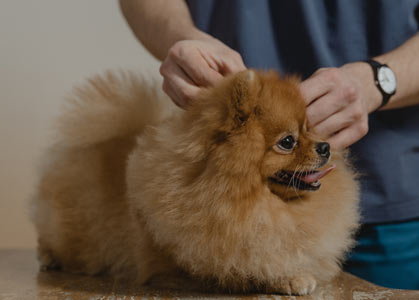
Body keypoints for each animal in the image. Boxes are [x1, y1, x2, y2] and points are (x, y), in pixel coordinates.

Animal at [32, 69, 360, 296]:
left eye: (309, 129)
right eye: (288, 141)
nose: (325, 147)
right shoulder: (190, 262)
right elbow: (241, 268)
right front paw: (289, 278)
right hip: (73, 235)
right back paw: (48, 257)